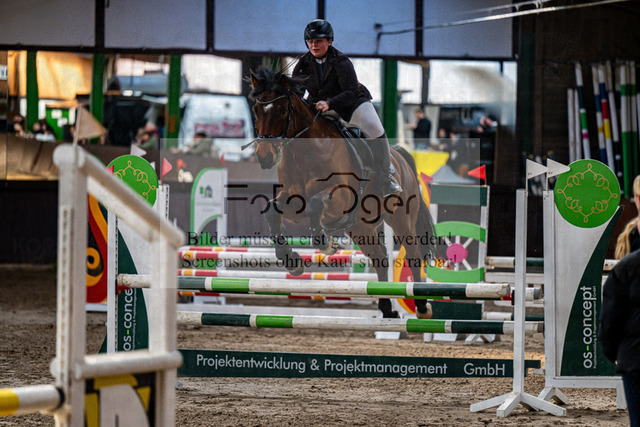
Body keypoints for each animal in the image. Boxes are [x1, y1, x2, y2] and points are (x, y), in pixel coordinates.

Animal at [248, 67, 444, 319]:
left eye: (282, 110)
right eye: (256, 110)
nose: (264, 157)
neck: (304, 153)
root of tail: (401, 156)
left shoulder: (340, 197)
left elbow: (315, 204)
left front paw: (325, 242)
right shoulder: (292, 200)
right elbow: (272, 211)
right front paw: (291, 260)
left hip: (402, 219)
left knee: (413, 253)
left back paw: (420, 306)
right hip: (362, 227)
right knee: (380, 256)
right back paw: (387, 308)